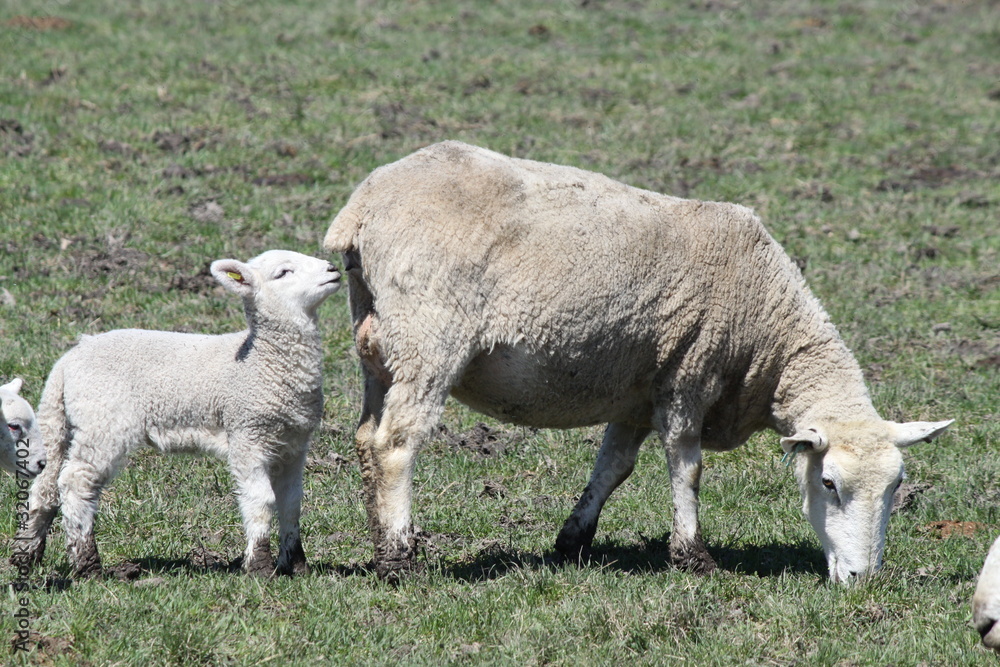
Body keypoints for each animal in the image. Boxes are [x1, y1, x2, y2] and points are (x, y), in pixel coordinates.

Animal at [14, 250, 341, 577]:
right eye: (283, 272)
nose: (333, 269)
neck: (262, 360)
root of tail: (66, 362)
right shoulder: (247, 432)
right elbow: (261, 499)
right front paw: (259, 566)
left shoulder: (293, 443)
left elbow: (291, 503)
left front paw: (297, 565)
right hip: (103, 422)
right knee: (76, 483)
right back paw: (87, 564)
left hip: (62, 422)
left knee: (45, 487)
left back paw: (26, 556)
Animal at [322, 140, 953, 582]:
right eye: (827, 483)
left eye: (897, 488)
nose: (861, 579)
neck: (767, 328)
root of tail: (363, 208)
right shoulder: (690, 372)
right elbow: (686, 465)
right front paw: (693, 557)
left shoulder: (639, 389)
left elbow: (614, 466)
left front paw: (573, 541)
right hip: (430, 338)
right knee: (395, 443)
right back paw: (401, 560)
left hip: (378, 346)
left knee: (365, 436)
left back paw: (380, 543)